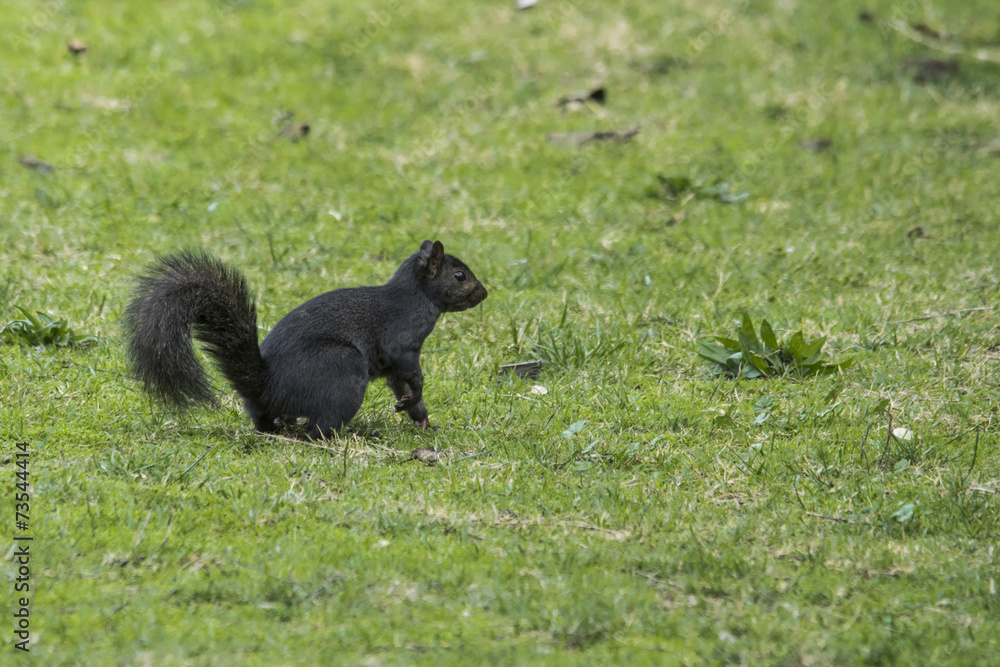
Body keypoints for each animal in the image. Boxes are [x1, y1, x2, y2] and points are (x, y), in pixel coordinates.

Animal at [122, 240, 487, 439]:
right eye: (460, 276)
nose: (484, 293)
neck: (416, 295)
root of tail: (266, 385)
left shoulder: (395, 365)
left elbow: (403, 387)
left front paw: (422, 420)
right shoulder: (401, 341)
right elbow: (412, 375)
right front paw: (417, 400)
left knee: (267, 424)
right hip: (342, 370)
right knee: (319, 431)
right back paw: (354, 433)